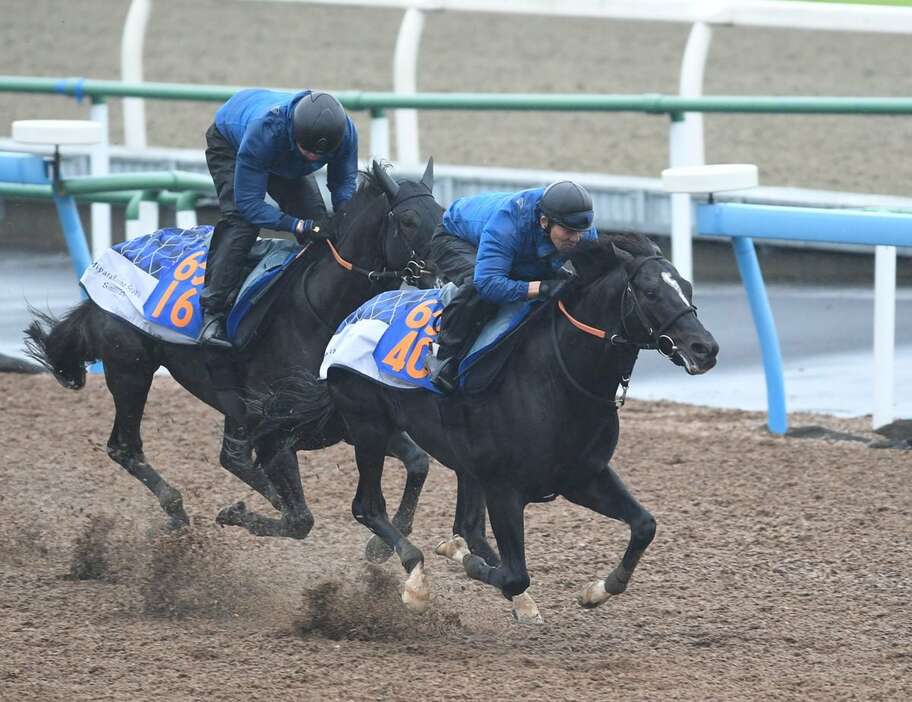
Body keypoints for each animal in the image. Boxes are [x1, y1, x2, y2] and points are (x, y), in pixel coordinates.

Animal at [24, 160, 446, 544]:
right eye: (408, 220)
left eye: (442, 215)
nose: (444, 270)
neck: (322, 312)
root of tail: (107, 261)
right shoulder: (277, 431)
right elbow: (300, 521)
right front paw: (239, 513)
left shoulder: (348, 422)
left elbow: (419, 462)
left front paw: (383, 541)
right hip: (131, 367)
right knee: (126, 447)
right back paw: (177, 509)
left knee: (230, 457)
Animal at [251, 234, 720, 624]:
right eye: (651, 292)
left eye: (688, 288)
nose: (706, 348)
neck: (557, 379)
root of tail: (354, 316)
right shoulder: (504, 488)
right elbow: (514, 573)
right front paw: (469, 566)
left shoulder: (583, 475)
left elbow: (644, 525)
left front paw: (598, 590)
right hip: (368, 425)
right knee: (367, 506)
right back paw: (417, 580)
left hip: (456, 459)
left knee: (467, 525)